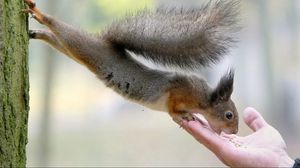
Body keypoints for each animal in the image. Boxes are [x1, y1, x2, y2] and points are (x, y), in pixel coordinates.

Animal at [24, 0, 239, 134]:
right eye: (229, 115)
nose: (235, 131)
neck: (204, 99)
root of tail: (104, 42)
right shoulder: (178, 91)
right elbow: (172, 108)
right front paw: (183, 115)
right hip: (84, 46)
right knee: (63, 30)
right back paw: (40, 14)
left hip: (76, 52)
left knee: (57, 40)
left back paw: (38, 33)